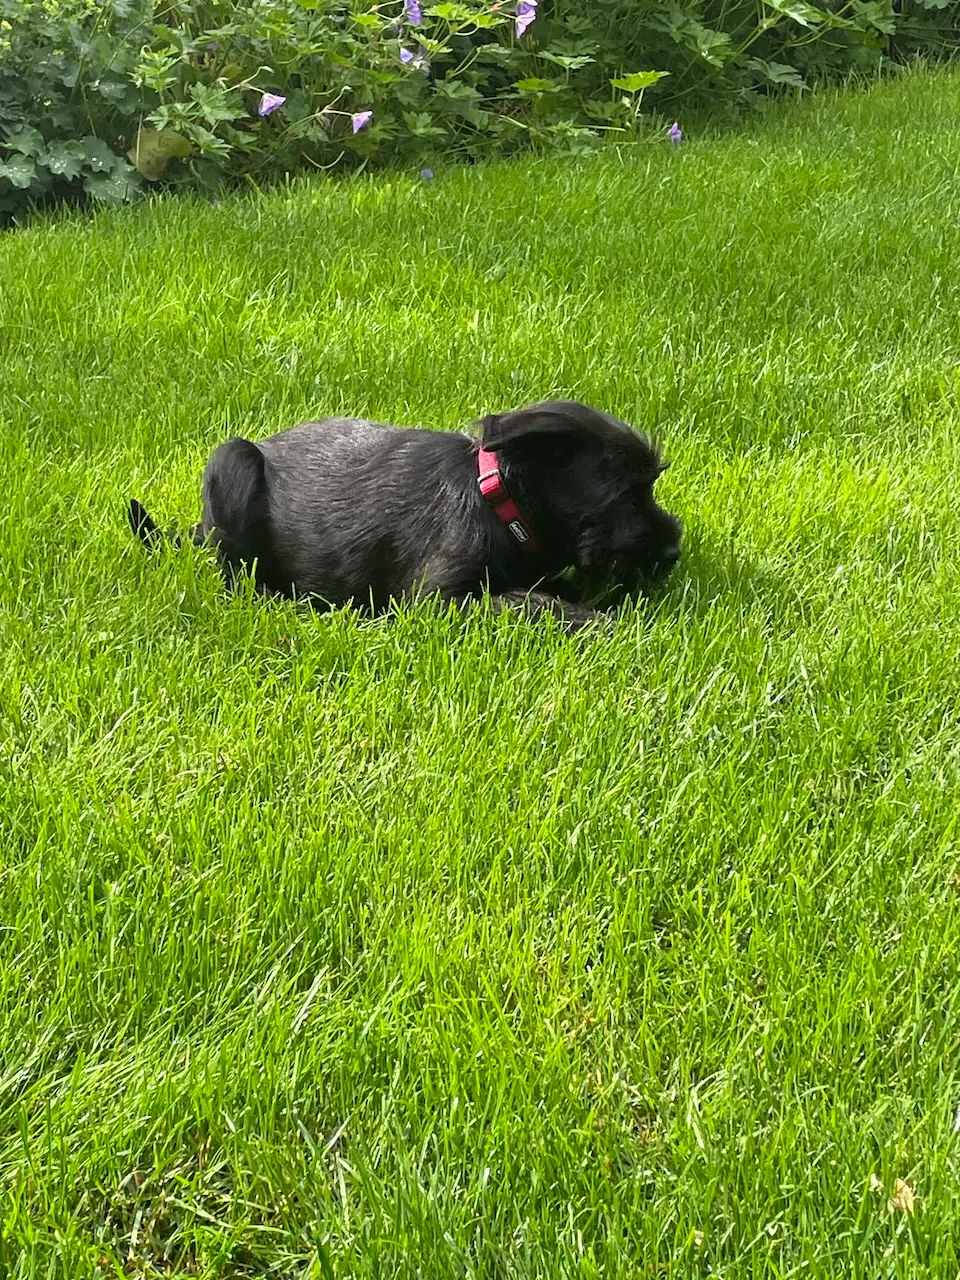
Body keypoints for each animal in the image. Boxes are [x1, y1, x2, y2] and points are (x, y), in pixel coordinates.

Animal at [127, 400, 682, 630]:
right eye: (627, 495)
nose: (673, 551)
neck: (498, 501)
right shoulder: (437, 600)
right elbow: (530, 603)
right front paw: (606, 623)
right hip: (232, 462)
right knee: (235, 577)